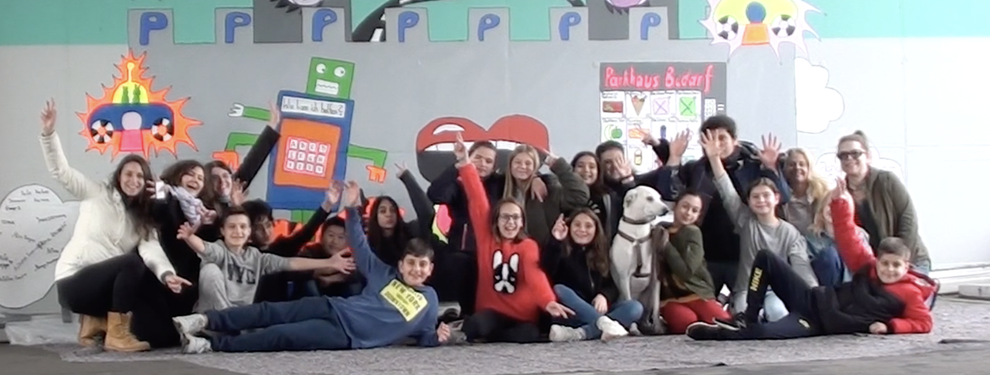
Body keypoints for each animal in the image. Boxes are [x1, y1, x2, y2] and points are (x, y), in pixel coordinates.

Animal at [612, 187, 676, 336]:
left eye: (659, 197)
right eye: (649, 198)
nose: (666, 209)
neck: (637, 235)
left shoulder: (656, 277)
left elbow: (657, 308)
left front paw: (658, 328)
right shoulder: (624, 278)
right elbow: (630, 304)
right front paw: (633, 328)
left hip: (648, 298)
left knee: (647, 313)